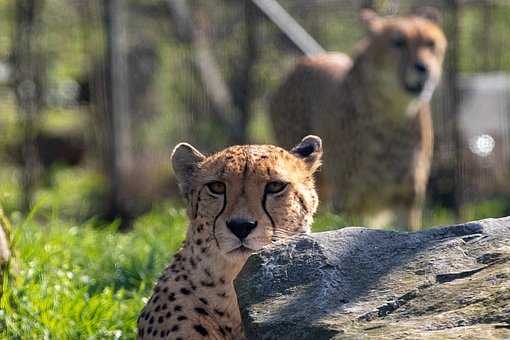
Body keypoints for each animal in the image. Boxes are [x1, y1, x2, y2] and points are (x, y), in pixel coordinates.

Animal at [270, 8, 446, 231]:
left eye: (430, 43)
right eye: (398, 42)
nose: (423, 67)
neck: (394, 116)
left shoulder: (407, 201)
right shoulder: (350, 202)